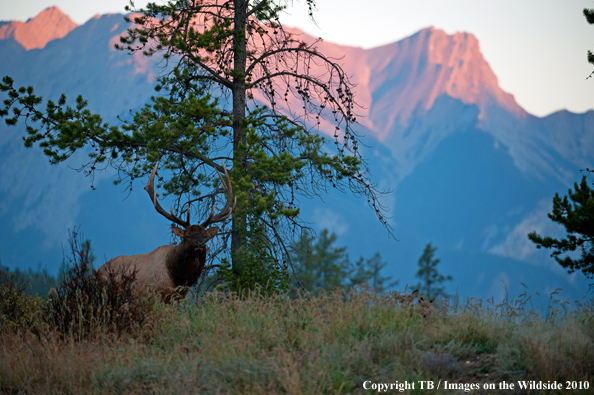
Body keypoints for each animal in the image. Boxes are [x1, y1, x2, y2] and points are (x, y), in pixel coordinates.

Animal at [98, 162, 235, 302]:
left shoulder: (178, 298)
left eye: (205, 235)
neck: (179, 279)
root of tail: (98, 271)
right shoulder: (156, 294)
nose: (200, 244)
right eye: (187, 235)